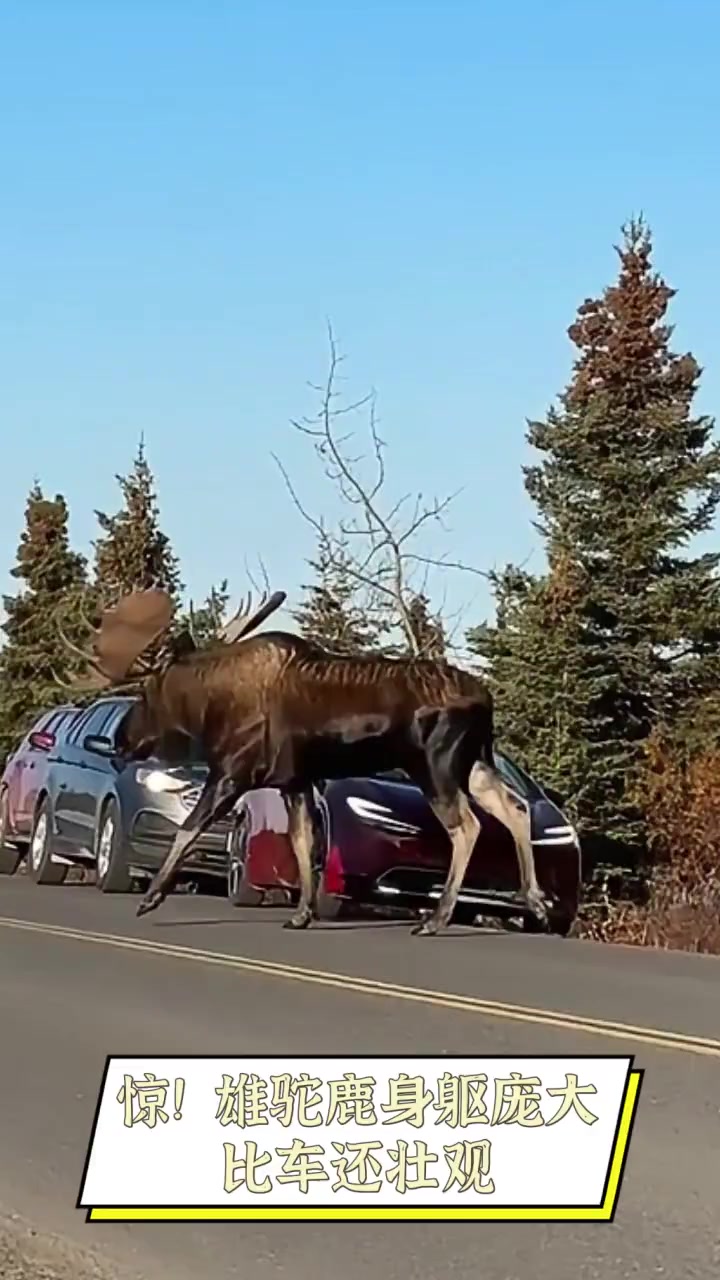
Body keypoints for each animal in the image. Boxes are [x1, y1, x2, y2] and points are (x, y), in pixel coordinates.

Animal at [55, 586, 549, 937]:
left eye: (144, 694)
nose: (121, 740)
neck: (209, 707)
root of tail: (487, 700)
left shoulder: (232, 773)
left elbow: (188, 828)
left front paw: (152, 897)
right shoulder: (294, 781)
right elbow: (302, 843)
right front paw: (302, 913)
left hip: (435, 765)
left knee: (467, 826)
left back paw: (437, 918)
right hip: (475, 762)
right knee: (514, 806)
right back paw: (536, 902)